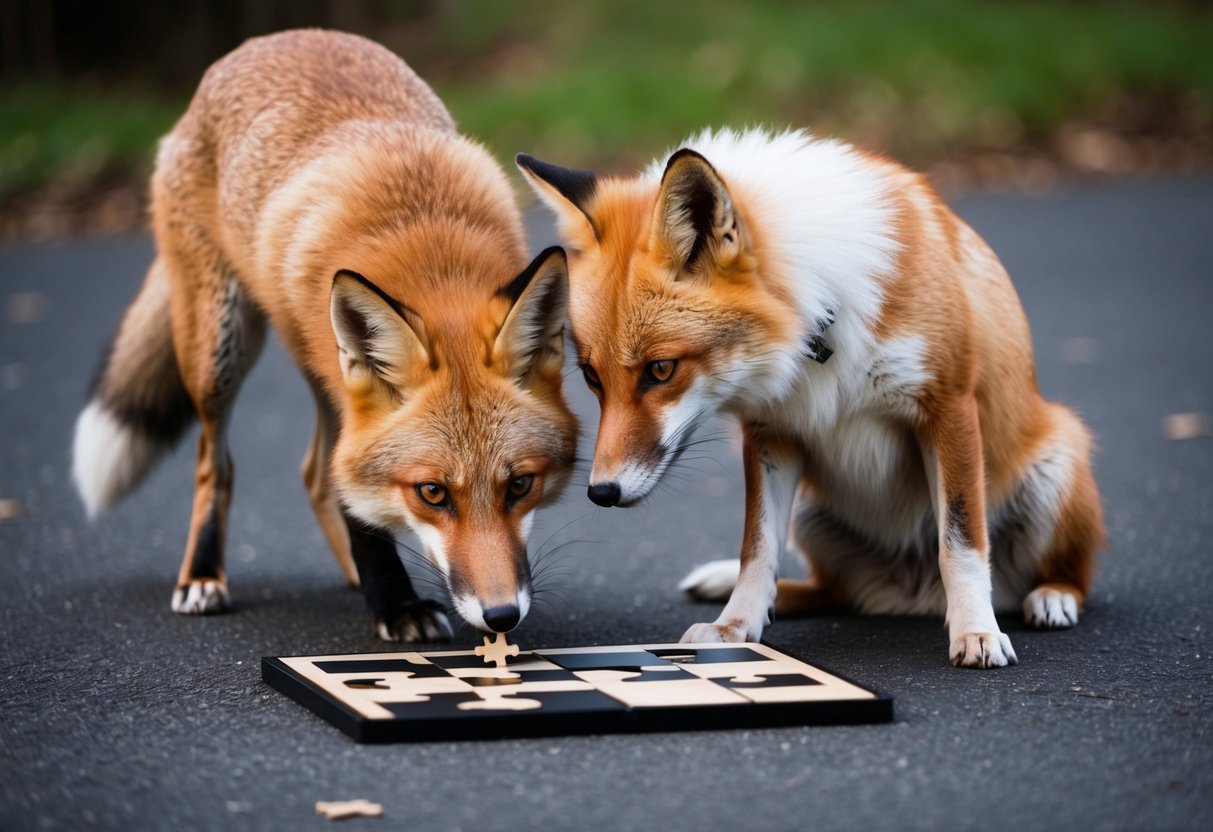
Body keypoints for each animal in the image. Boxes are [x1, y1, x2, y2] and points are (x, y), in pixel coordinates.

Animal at [71, 30, 578, 641]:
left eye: (521, 485)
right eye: (432, 493)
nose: (501, 616)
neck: (427, 244)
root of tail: (266, 42)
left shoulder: (345, 388)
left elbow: (344, 488)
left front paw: (383, 590)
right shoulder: (346, 396)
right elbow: (357, 509)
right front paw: (397, 606)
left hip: (312, 363)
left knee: (314, 472)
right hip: (222, 348)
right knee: (216, 463)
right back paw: (204, 574)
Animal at [517, 127, 1104, 668]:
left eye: (661, 370)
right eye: (592, 378)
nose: (601, 492)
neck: (819, 324)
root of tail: (914, 597)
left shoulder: (948, 406)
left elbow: (960, 543)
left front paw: (976, 632)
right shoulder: (772, 432)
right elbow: (756, 551)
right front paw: (735, 627)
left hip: (1057, 465)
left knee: (1063, 574)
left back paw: (1051, 598)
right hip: (812, 520)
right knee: (828, 591)